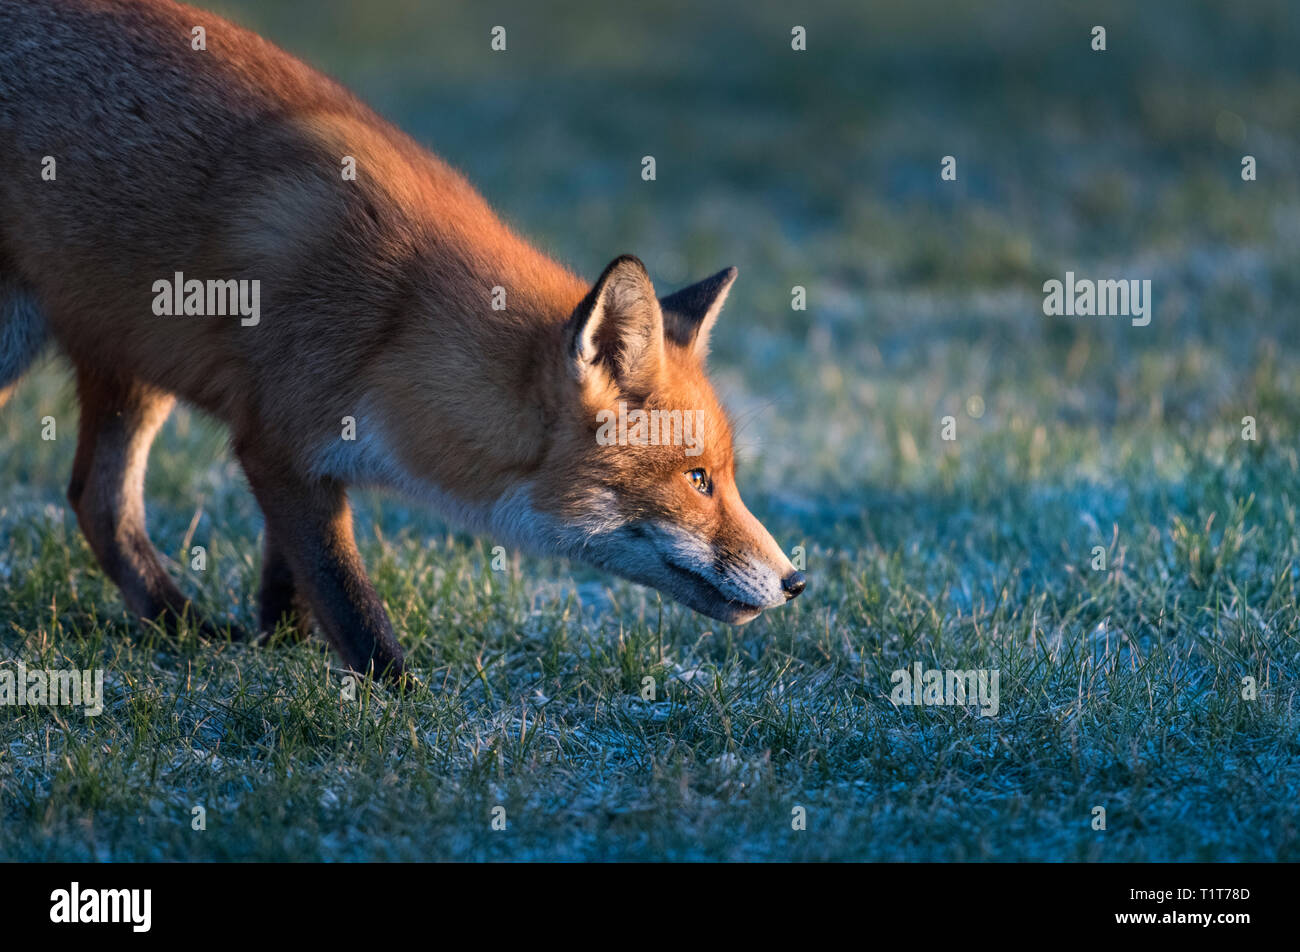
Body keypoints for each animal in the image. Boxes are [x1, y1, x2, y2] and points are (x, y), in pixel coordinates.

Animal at [0, 0, 805, 680]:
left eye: (725, 476)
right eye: (697, 479)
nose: (798, 580)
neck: (397, 325)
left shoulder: (314, 463)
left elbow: (294, 583)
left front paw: (281, 649)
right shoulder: (278, 445)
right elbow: (348, 595)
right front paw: (394, 696)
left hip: (128, 365)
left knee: (96, 500)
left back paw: (179, 628)